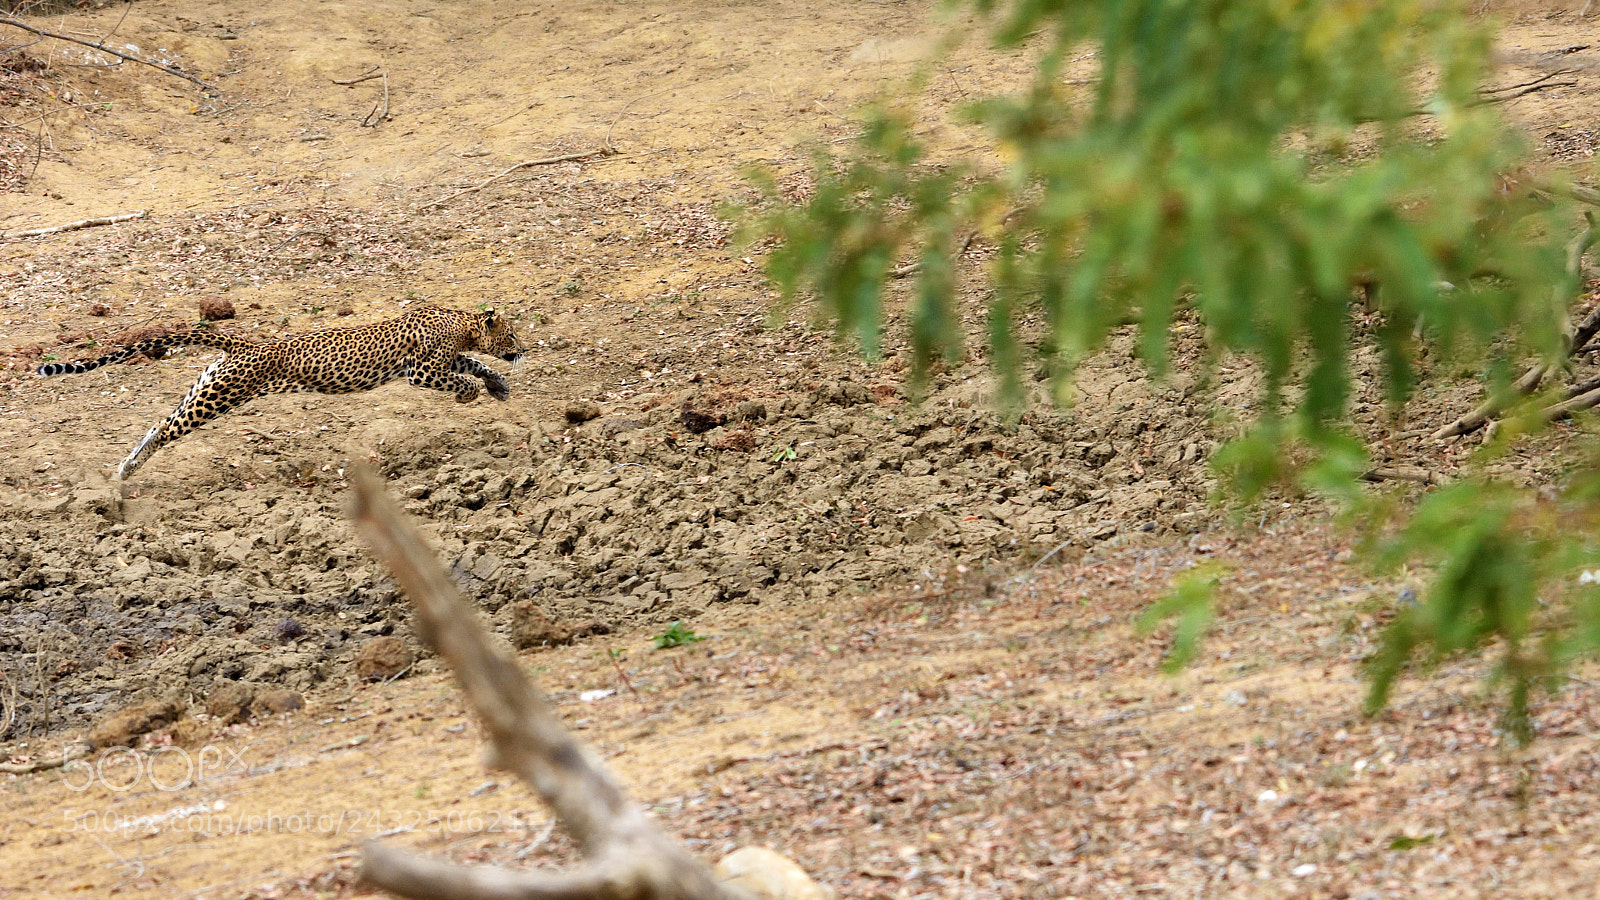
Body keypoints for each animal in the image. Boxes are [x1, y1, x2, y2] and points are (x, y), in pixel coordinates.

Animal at [38, 305, 525, 480]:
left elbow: (476, 365)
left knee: (160, 419)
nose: (523, 349)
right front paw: (471, 394)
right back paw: (127, 470)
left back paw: (128, 466)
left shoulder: (446, 360)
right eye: (513, 334)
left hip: (206, 387)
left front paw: (497, 385)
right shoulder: (422, 370)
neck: (461, 322)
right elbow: (463, 377)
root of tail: (243, 344)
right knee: (165, 427)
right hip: (217, 398)